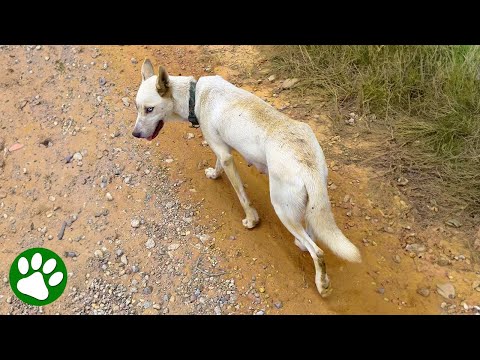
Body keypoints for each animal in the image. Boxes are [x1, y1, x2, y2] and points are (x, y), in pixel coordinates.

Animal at [132, 58, 360, 296]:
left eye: (149, 109)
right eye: (137, 107)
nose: (135, 134)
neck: (193, 96)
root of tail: (308, 164)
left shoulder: (225, 156)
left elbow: (242, 195)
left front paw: (251, 219)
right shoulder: (222, 150)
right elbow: (218, 165)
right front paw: (214, 174)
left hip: (282, 208)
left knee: (317, 251)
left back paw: (321, 283)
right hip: (309, 202)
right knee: (312, 232)